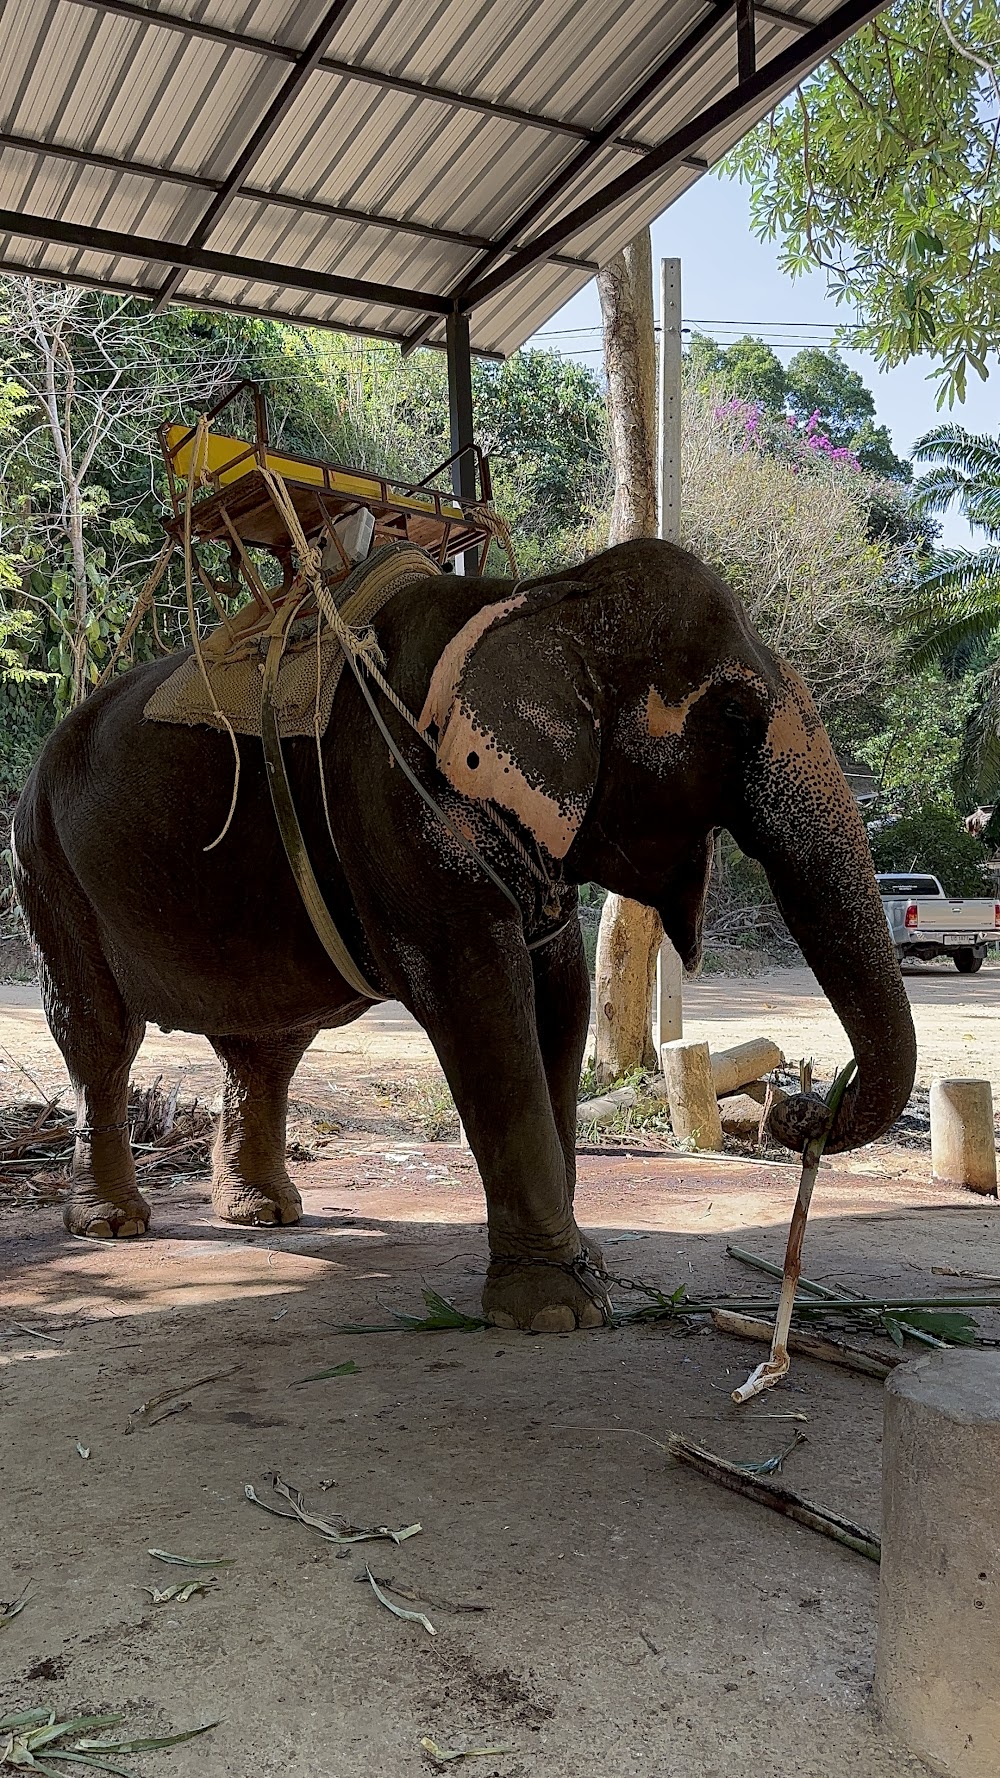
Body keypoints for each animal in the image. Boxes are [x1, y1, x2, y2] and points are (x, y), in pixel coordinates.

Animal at [9, 533, 911, 1329]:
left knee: (266, 1048)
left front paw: (589, 1266)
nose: (801, 1110)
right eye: (733, 712)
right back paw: (113, 1224)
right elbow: (479, 996)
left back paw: (264, 1215)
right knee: (99, 1034)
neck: (534, 598)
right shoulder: (398, 798)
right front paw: (554, 1310)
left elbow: (560, 996)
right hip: (44, 862)